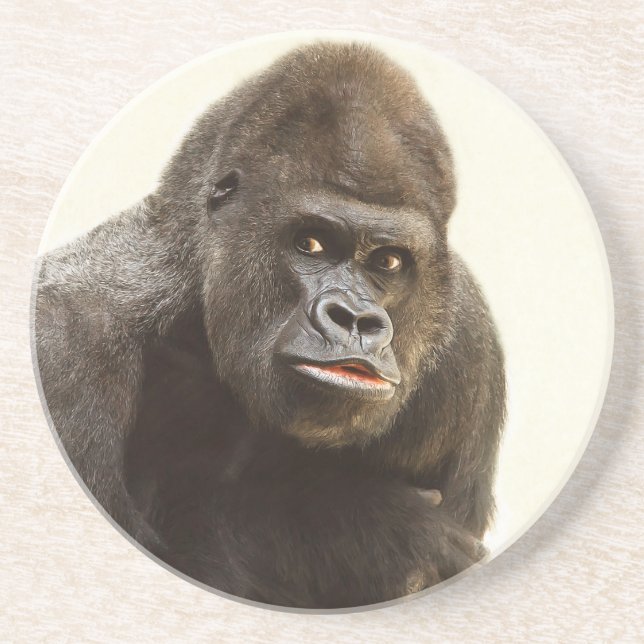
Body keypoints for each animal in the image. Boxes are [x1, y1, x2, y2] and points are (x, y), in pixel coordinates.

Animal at [34, 42, 506, 608]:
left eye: (389, 262)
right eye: (310, 243)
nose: (356, 320)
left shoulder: (469, 347)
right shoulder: (65, 342)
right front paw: (372, 531)